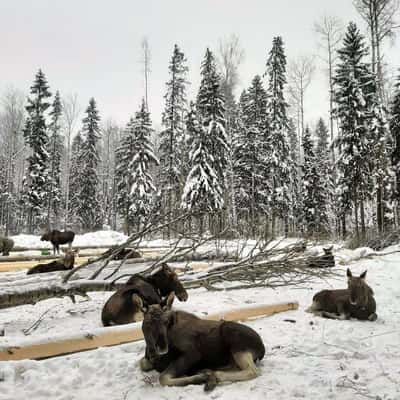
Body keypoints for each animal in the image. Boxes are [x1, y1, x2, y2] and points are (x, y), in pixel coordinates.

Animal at [139, 290, 268, 390]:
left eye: (165, 322)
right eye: (147, 324)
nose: (161, 347)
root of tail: (262, 349)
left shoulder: (192, 353)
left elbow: (163, 378)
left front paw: (200, 378)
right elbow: (143, 363)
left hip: (234, 338)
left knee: (253, 371)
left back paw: (214, 375)